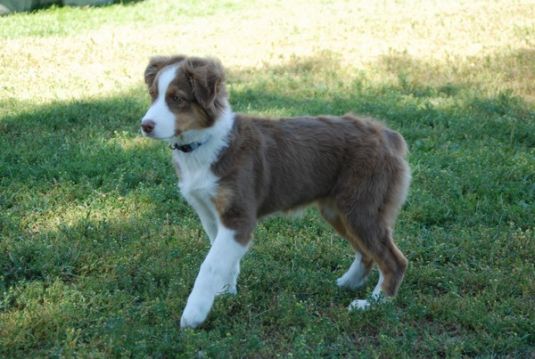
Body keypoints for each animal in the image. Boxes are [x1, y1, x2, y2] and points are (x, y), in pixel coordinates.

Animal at [140, 55, 412, 330]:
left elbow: (211, 265)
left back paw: (374, 303)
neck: (205, 143)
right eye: (153, 95)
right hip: (338, 210)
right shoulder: (210, 214)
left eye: (178, 99)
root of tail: (386, 135)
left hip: (361, 207)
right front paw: (227, 292)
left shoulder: (238, 217)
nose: (145, 126)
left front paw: (193, 315)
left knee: (394, 261)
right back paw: (347, 284)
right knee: (367, 253)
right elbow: (224, 258)